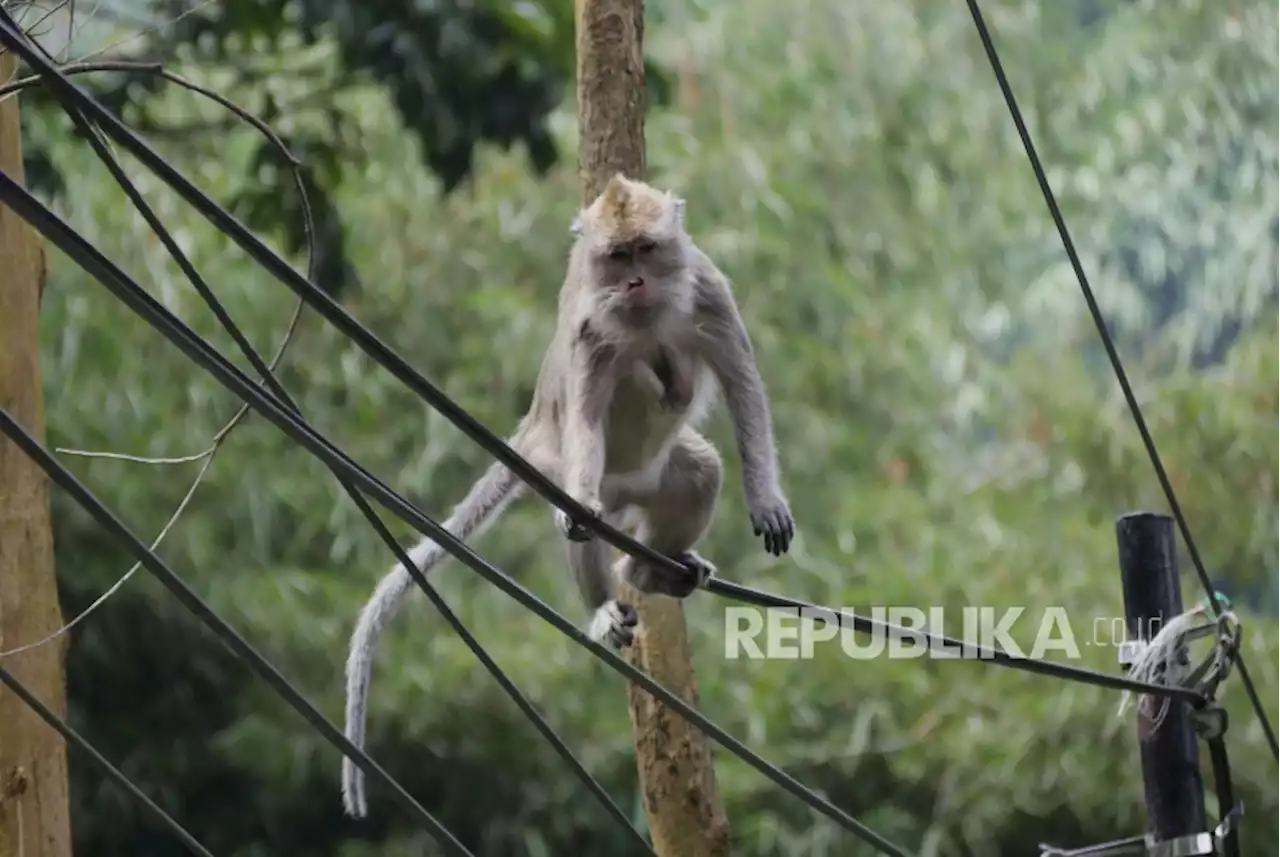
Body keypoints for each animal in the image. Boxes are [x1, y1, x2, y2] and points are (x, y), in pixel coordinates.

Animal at [345, 172, 793, 818]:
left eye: (647, 249)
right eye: (618, 257)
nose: (635, 282)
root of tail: (532, 425)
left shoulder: (708, 290)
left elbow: (742, 383)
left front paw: (765, 500)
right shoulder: (588, 328)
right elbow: (585, 413)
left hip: (651, 477)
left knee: (699, 471)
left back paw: (647, 569)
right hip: (560, 463)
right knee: (587, 513)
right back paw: (604, 602)